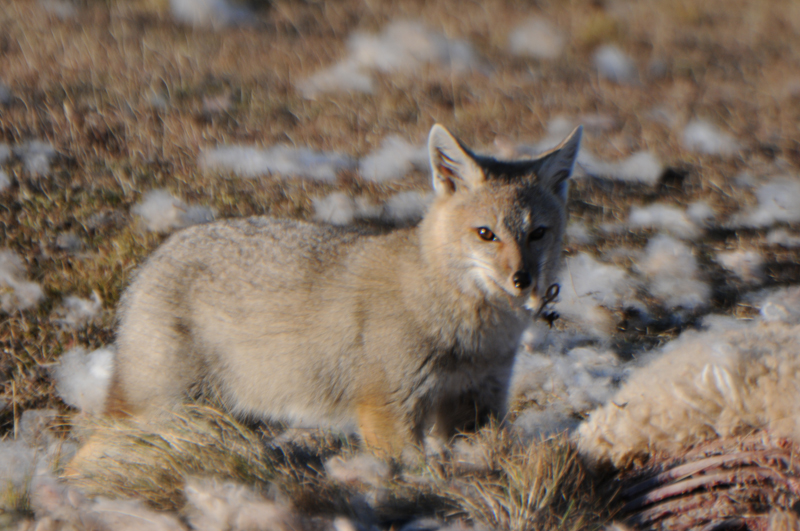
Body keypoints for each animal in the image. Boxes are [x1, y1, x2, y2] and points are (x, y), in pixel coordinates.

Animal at [105, 123, 582, 453]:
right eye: (486, 234)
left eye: (537, 233)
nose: (522, 279)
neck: (475, 336)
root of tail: (154, 258)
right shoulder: (388, 410)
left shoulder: (477, 406)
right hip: (170, 408)